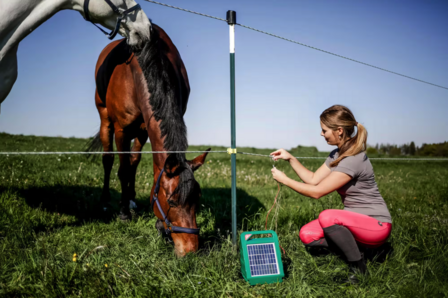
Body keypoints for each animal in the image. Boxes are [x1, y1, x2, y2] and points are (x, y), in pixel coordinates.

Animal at [90, 23, 211, 256]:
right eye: (172, 201)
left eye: (198, 198)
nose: (191, 250)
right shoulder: (122, 129)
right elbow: (122, 169)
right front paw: (123, 213)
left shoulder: (145, 129)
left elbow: (135, 164)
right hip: (105, 118)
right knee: (108, 159)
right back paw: (106, 201)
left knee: (134, 161)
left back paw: (131, 199)